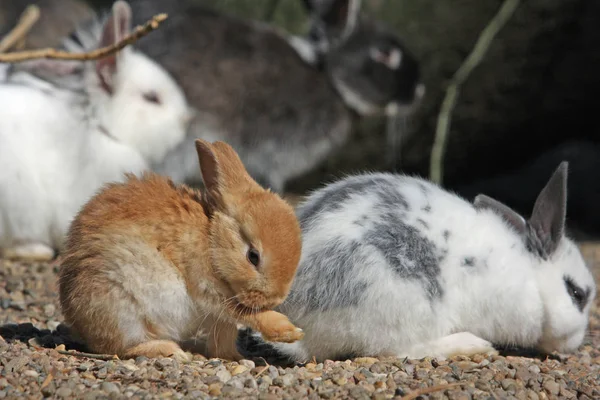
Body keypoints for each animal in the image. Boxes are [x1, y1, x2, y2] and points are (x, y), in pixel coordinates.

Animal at [58, 139, 302, 360]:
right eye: (253, 256)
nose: (274, 300)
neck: (211, 238)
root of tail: (78, 322)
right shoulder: (207, 287)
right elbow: (243, 313)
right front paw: (289, 332)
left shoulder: (219, 317)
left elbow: (224, 338)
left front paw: (236, 357)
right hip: (121, 309)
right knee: (122, 348)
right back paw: (170, 350)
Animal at [238, 162, 596, 362]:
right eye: (576, 293)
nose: (576, 342)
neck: (530, 275)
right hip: (400, 305)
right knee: (396, 350)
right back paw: (472, 345)